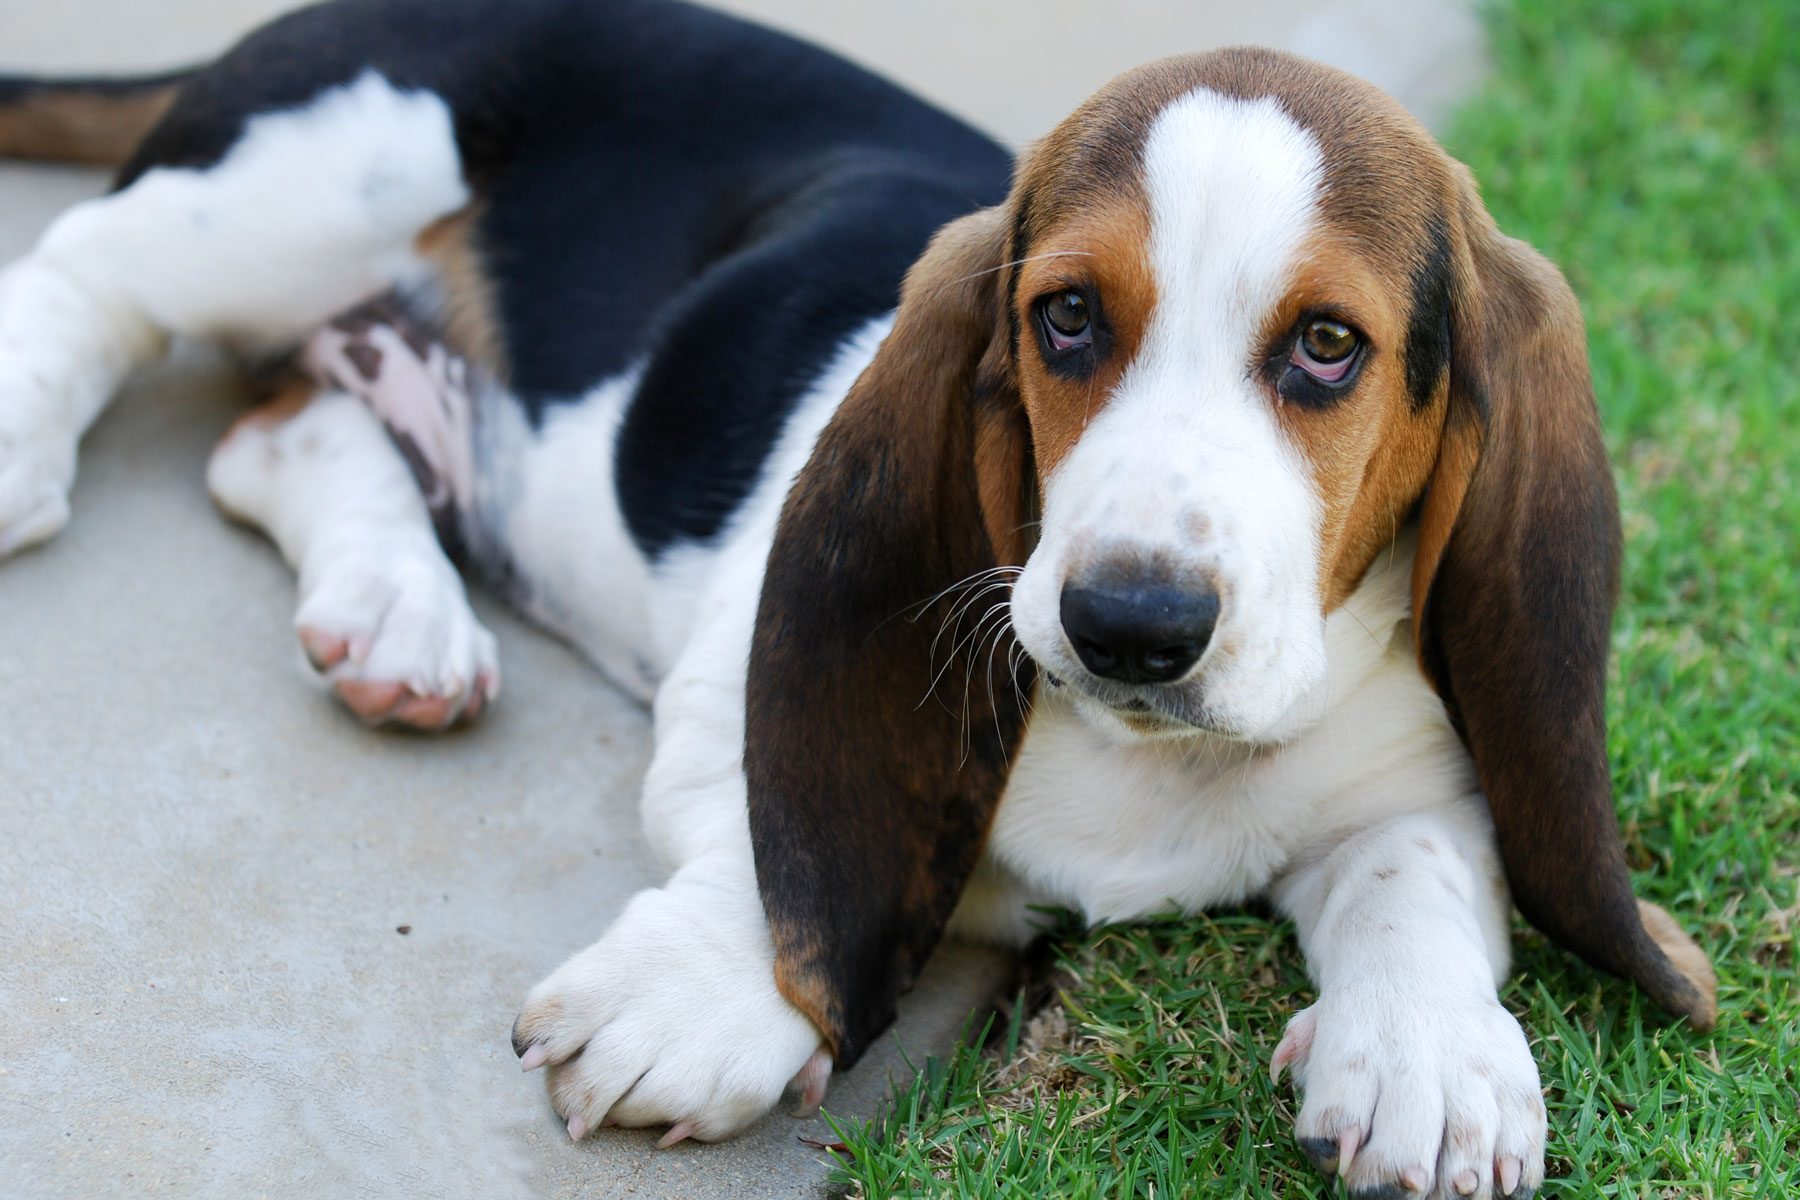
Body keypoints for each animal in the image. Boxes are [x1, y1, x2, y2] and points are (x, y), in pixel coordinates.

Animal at [0, 2, 1713, 1194]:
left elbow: (1414, 884)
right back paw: (27, 431)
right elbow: (779, 834)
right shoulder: (733, 686)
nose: (1131, 621)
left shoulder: (1421, 778)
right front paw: (706, 996)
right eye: (1064, 317)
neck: (1146, 759)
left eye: (1330, 347)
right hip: (315, 181)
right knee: (96, 276)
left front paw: (1433, 1062)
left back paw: (395, 620)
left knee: (285, 432)